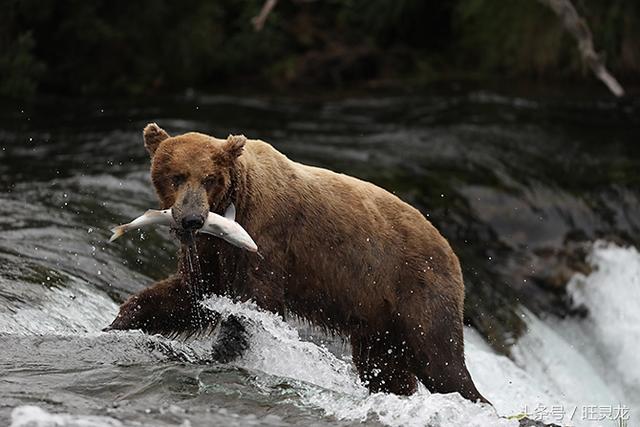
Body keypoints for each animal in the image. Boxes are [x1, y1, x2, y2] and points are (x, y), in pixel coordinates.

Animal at [107, 123, 488, 404]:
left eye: (210, 178)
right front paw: (116, 324)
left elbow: (255, 304)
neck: (234, 202)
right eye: (176, 176)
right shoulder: (209, 252)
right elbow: (187, 296)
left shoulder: (267, 236)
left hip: (414, 286)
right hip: (377, 317)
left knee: (440, 360)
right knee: (384, 367)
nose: (191, 219)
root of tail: (450, 248)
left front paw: (223, 352)